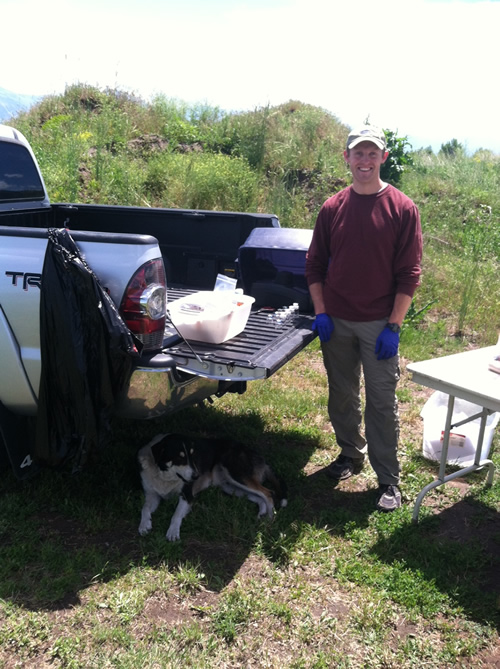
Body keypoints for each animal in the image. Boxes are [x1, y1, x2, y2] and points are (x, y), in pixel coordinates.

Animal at [137, 430, 288, 540]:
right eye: (180, 457)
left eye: (193, 455)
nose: (196, 476)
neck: (164, 476)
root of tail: (257, 455)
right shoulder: (152, 495)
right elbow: (144, 508)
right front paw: (144, 525)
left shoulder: (187, 496)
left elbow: (176, 514)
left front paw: (173, 531)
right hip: (231, 487)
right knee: (259, 496)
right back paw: (262, 512)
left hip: (237, 474)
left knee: (268, 493)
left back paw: (270, 518)